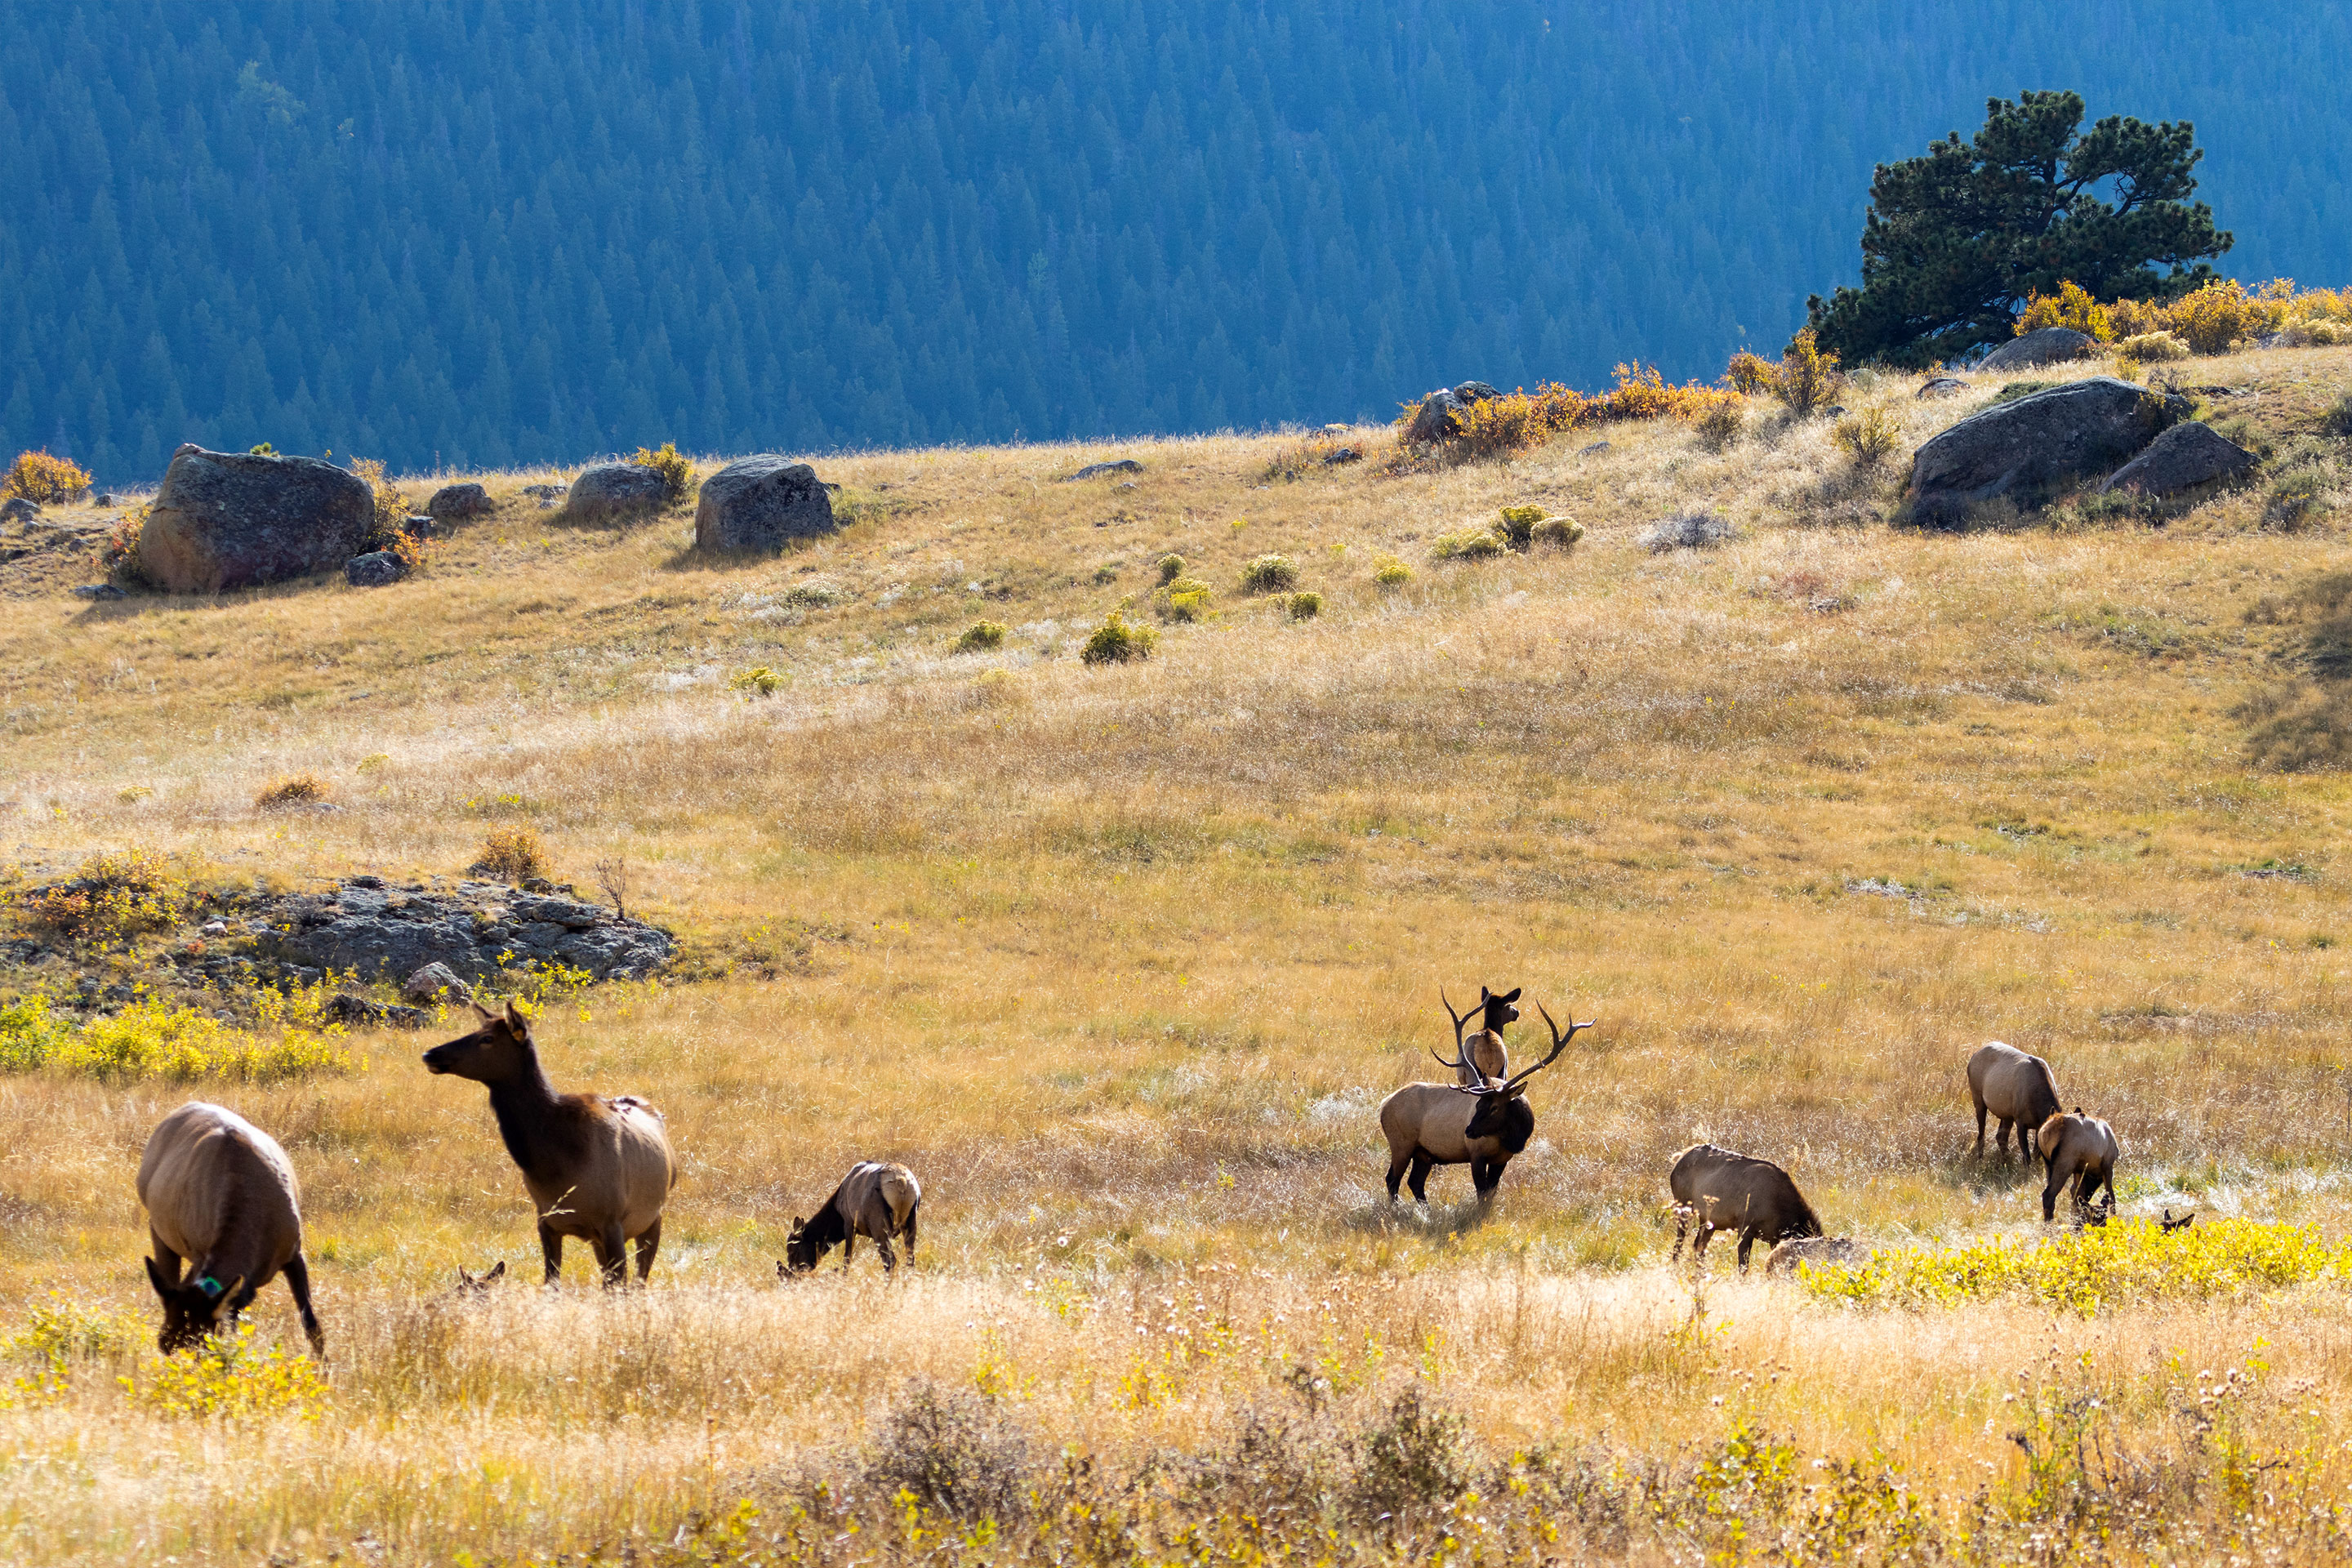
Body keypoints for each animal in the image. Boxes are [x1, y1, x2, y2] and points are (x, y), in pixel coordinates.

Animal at [137, 1102, 325, 1356]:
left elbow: (312, 1324)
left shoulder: (295, 1251)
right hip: (158, 1230)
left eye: (202, 1346)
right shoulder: (199, 1251)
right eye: (165, 1348)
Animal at [423, 1001, 679, 1287]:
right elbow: (551, 1283)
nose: (430, 1054)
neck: (554, 1164)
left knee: (639, 1280)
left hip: (652, 1219)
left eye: (486, 1038)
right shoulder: (547, 1221)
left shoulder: (612, 1222)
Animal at [1380, 1002, 1589, 1204]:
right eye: (1478, 1105)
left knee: (1415, 1182)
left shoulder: (1503, 1159)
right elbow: (1482, 1192)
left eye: (1494, 1107)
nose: (1469, 1131)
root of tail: (1384, 1104)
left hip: (1424, 1153)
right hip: (1401, 1143)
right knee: (1392, 1179)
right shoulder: (1477, 1154)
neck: (1512, 1138)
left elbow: (1492, 1192)